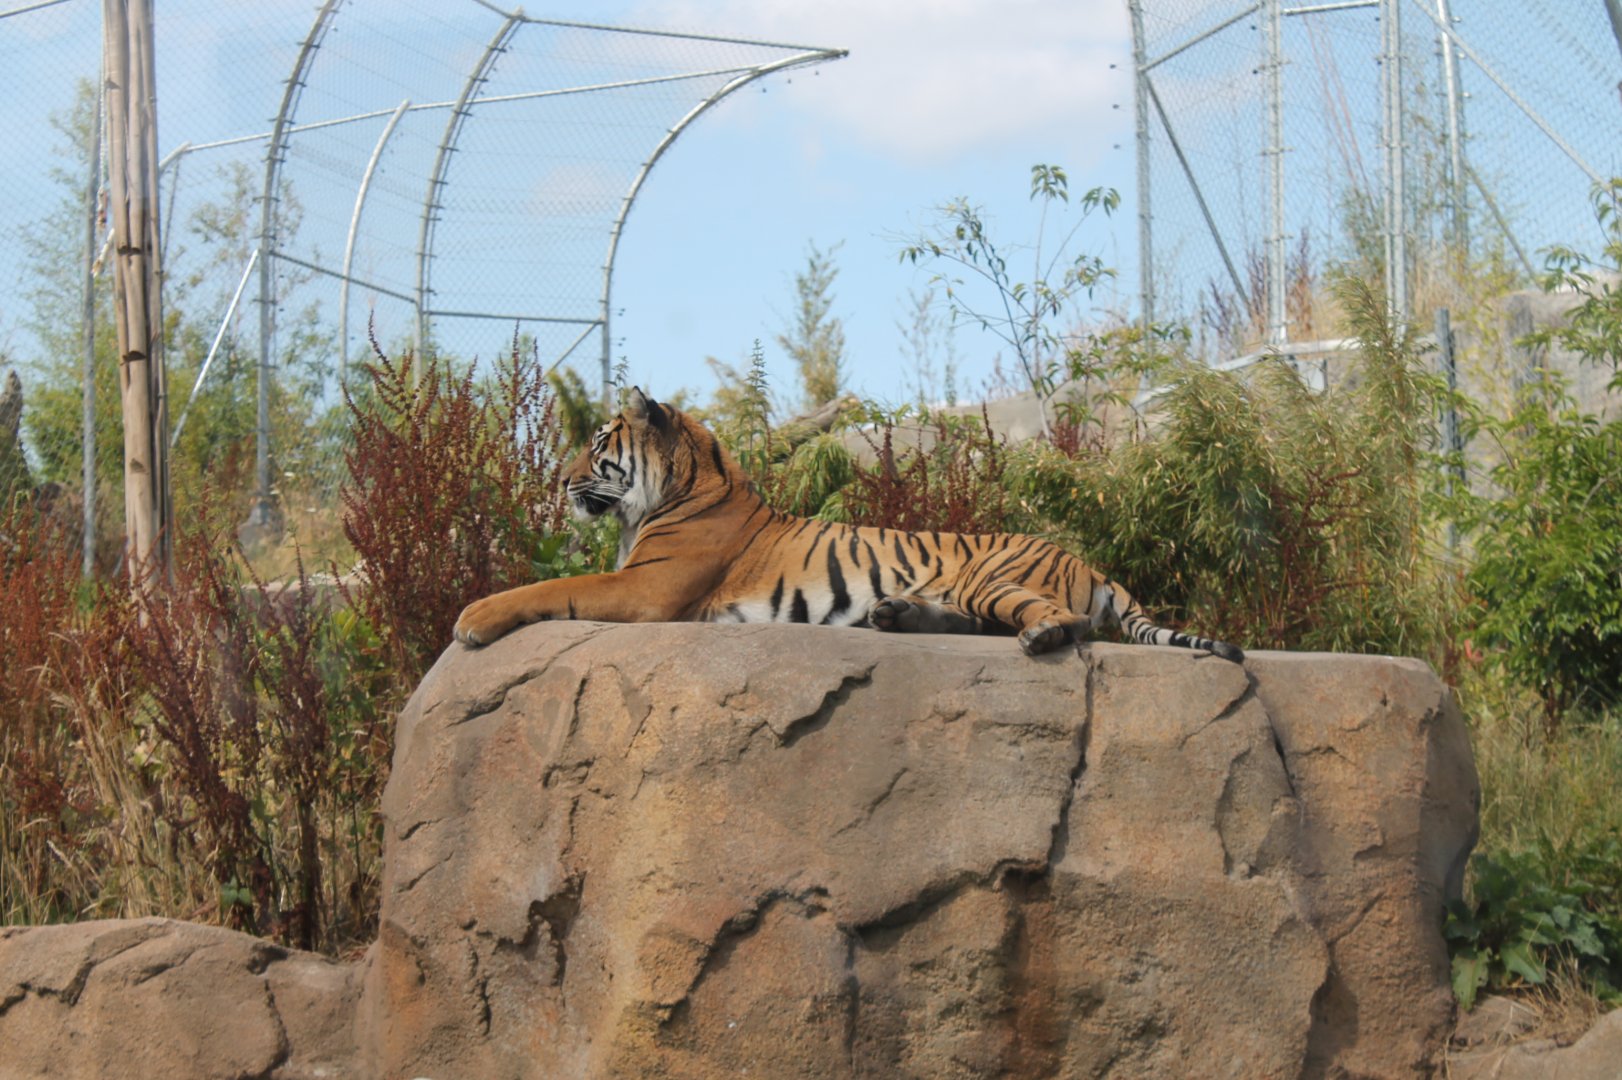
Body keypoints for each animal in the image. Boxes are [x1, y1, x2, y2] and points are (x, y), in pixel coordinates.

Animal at [453, 388, 1244, 664]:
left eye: (596, 445)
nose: (557, 482)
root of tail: (1089, 561)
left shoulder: (646, 590)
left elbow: (546, 587)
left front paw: (471, 619)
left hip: (998, 579)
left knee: (1062, 624)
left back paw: (1037, 638)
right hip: (976, 591)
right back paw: (894, 616)